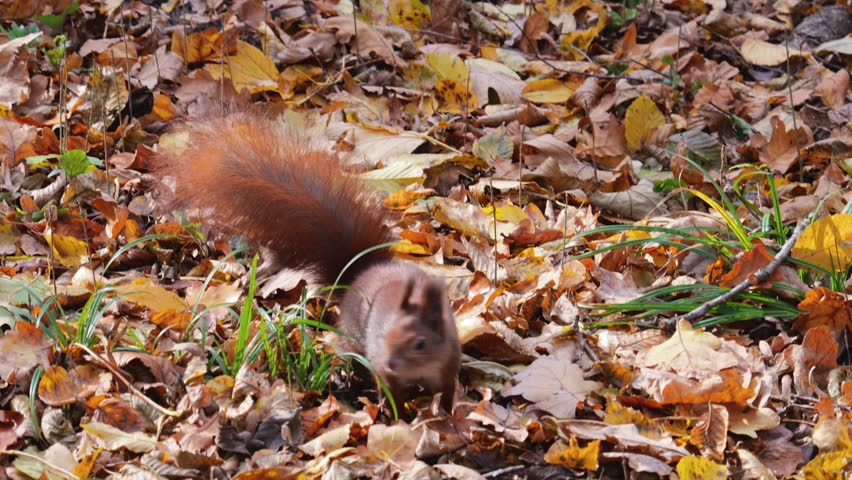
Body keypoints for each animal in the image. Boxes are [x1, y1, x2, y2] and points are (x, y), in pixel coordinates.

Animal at [154, 112, 460, 411]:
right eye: (384, 334)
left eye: (420, 343)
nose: (389, 361)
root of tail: (361, 272)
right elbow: (391, 392)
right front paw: (397, 415)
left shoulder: (446, 367)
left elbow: (446, 392)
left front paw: (444, 414)